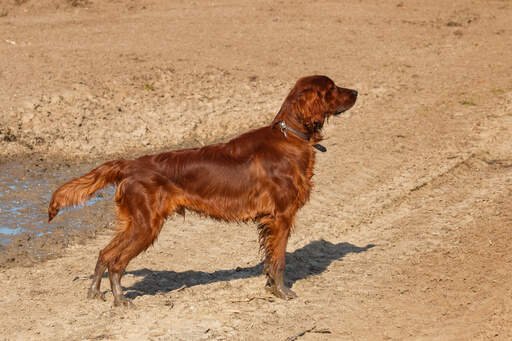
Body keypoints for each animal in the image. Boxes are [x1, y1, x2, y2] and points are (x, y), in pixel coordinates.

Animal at [50, 75, 358, 306]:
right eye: (332, 89)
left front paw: (271, 287)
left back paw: (94, 293)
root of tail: (130, 164)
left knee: (104, 253)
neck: (290, 136)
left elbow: (270, 259)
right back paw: (120, 300)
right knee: (116, 262)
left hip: (135, 222)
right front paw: (282, 292)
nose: (356, 91)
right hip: (146, 225)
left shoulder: (271, 219)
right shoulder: (281, 216)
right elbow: (279, 259)